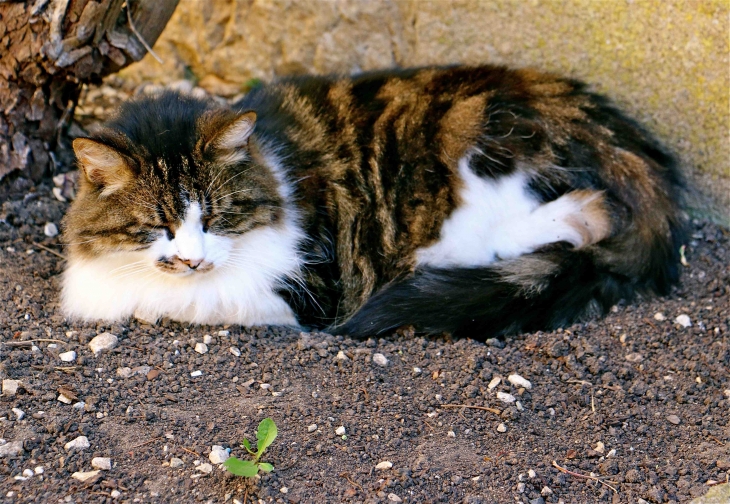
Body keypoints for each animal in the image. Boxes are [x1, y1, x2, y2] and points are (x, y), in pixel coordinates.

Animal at [61, 64, 684, 338]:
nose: (192, 258)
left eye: (217, 217)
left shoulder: (311, 289)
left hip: (469, 147)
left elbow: (194, 300)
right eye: (157, 225)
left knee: (584, 214)